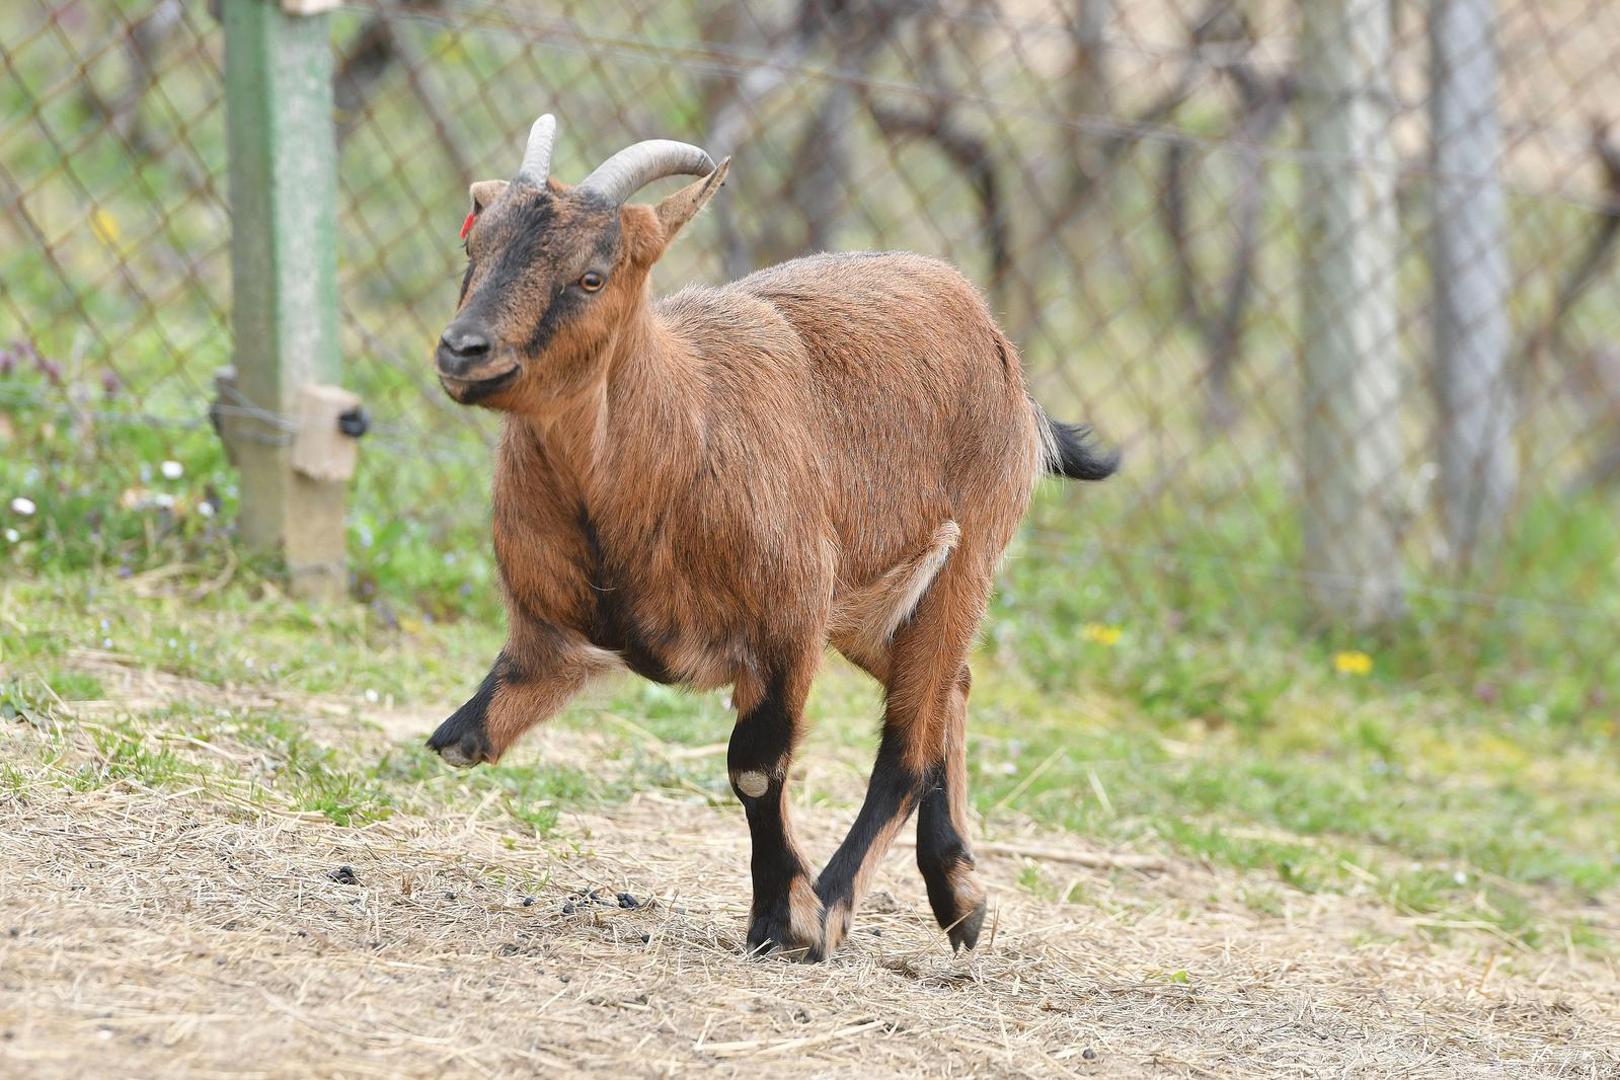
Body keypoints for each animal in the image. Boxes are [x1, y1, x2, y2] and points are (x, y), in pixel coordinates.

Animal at [424, 116, 1121, 965]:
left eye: (593, 274)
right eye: (476, 243)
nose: (464, 350)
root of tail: (994, 338)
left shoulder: (786, 624)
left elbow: (756, 769)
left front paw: (787, 919)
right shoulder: (548, 638)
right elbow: (465, 738)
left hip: (965, 561)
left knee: (907, 748)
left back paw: (847, 901)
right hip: (872, 609)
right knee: (950, 689)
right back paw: (961, 897)